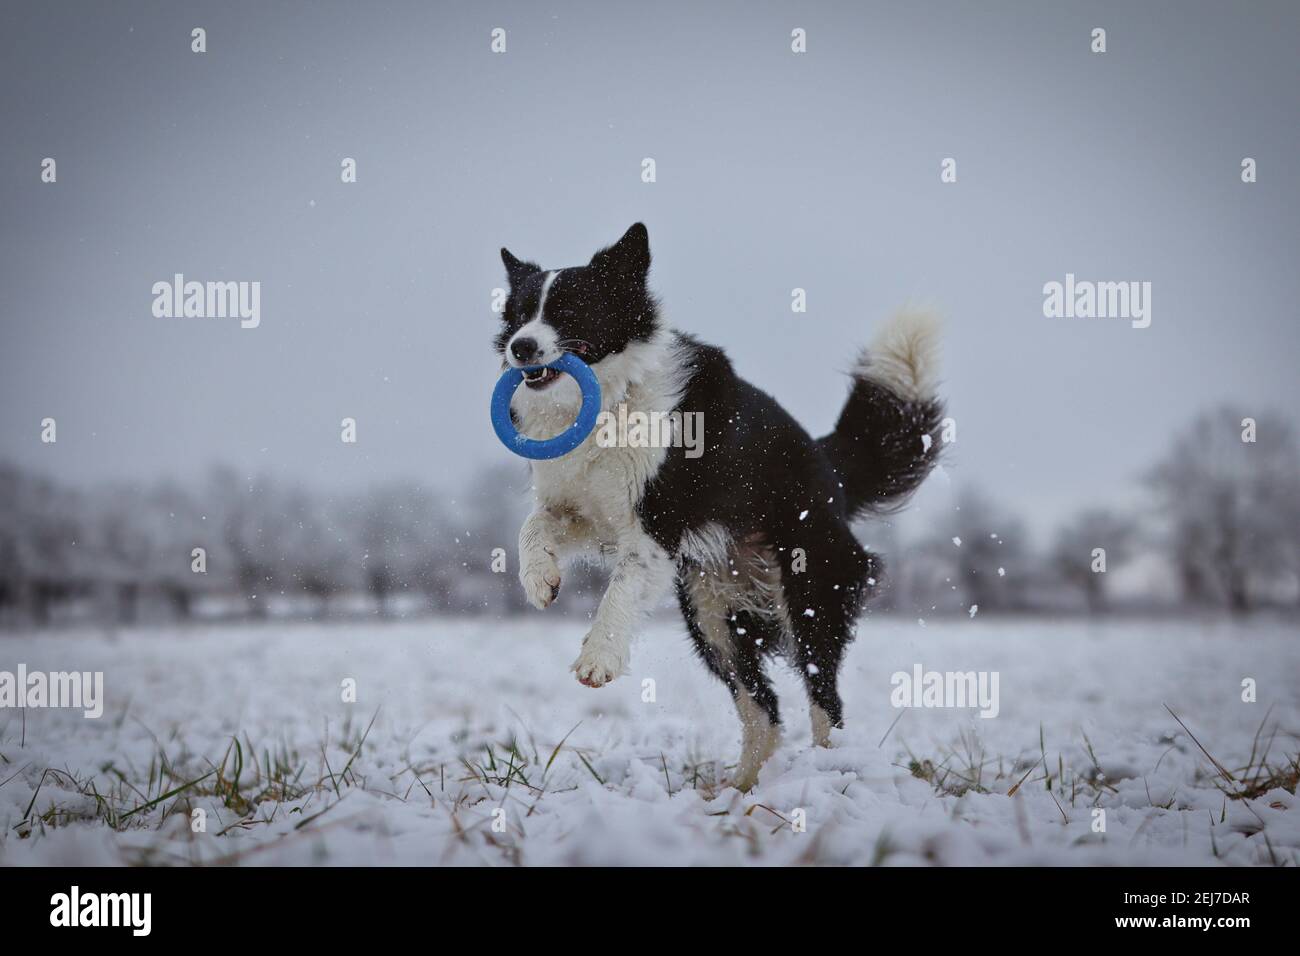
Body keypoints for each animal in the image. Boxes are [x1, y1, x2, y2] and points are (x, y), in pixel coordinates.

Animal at [496, 223, 946, 790]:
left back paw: (829, 774)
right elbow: (532, 526)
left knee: (824, 699)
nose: (520, 347)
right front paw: (539, 579)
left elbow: (621, 587)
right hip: (711, 612)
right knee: (763, 709)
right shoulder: (585, 510)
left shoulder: (656, 524)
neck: (607, 399)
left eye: (570, 309)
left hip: (808, 592)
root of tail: (828, 465)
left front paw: (598, 657)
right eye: (518, 313)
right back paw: (740, 792)